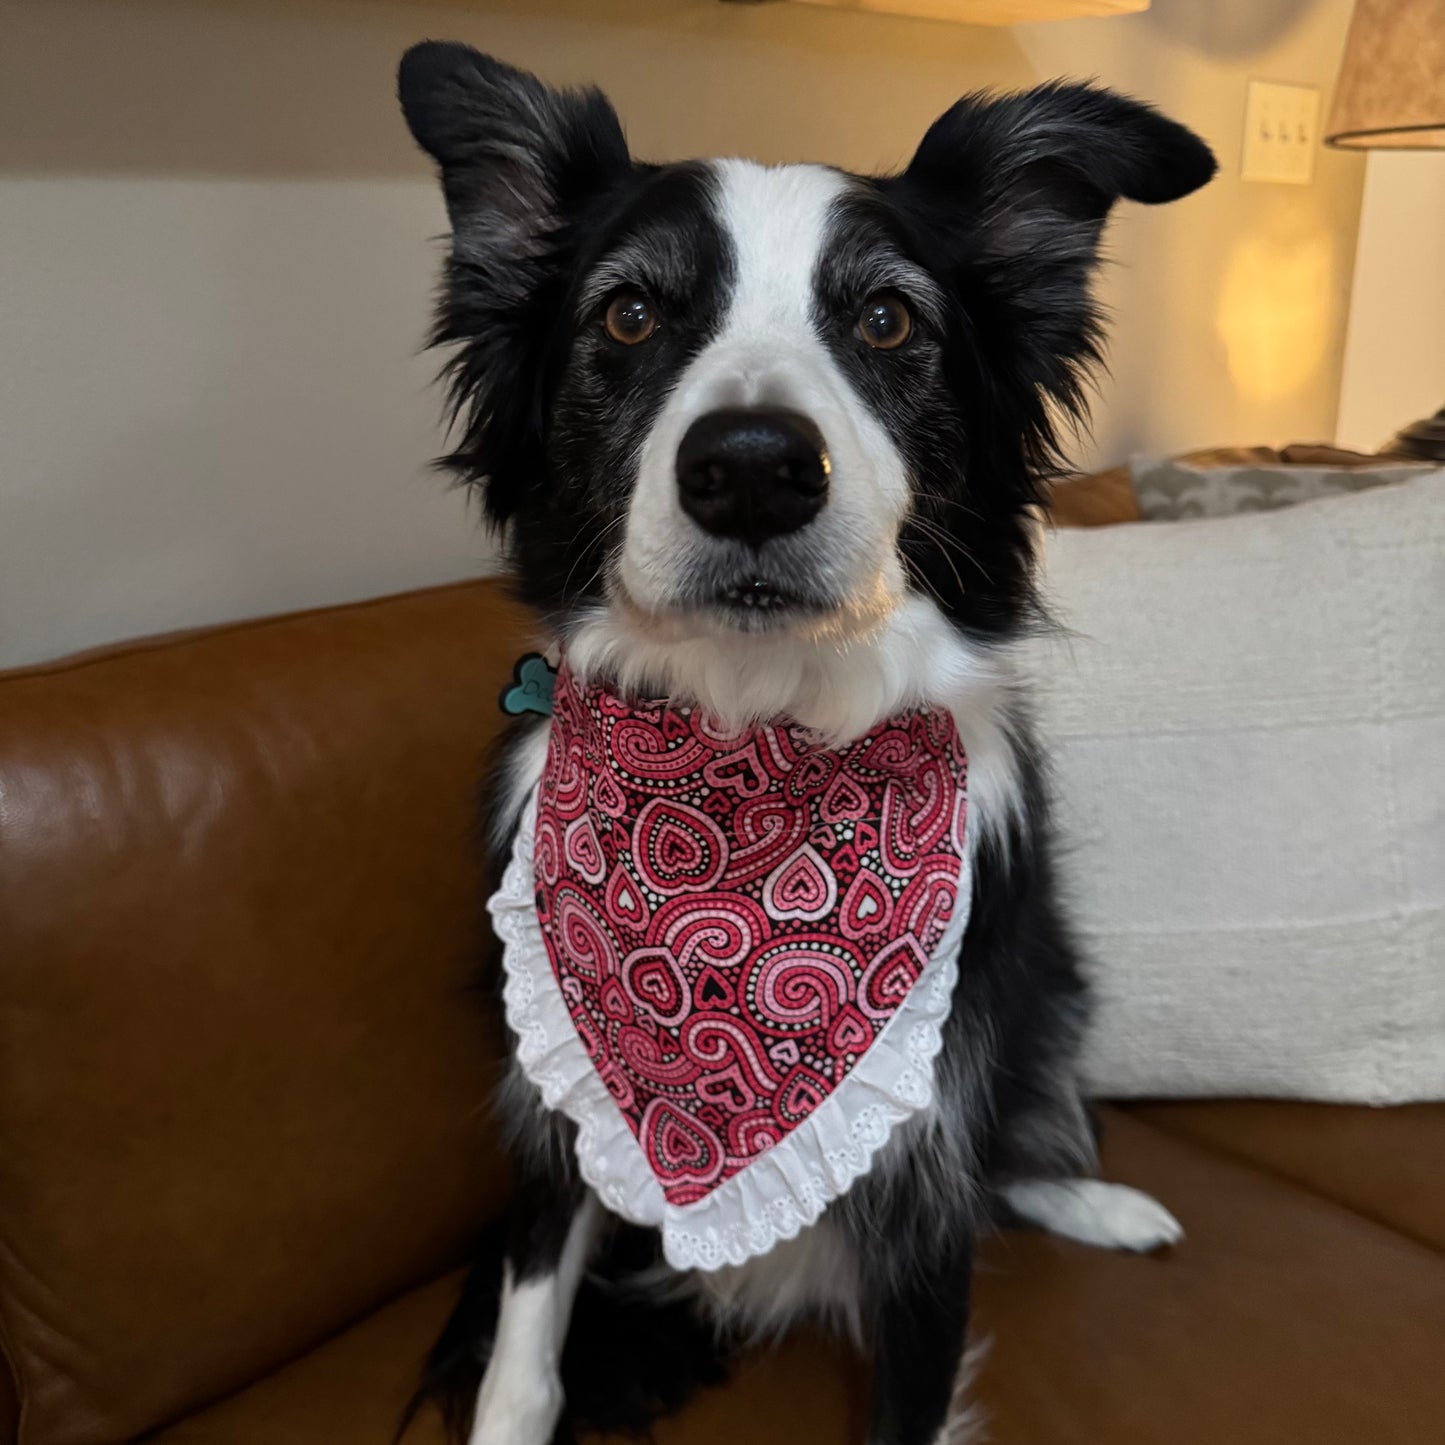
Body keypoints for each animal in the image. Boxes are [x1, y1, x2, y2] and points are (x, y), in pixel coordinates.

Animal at [393, 42, 1208, 1445]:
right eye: (628, 315)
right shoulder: (556, 1113)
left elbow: (921, 1355)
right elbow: (522, 1353)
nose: (752, 468)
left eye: (885, 320)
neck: (755, 739)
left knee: (1015, 1140)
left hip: (1050, 985)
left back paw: (1100, 1201)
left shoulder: (923, 1180)